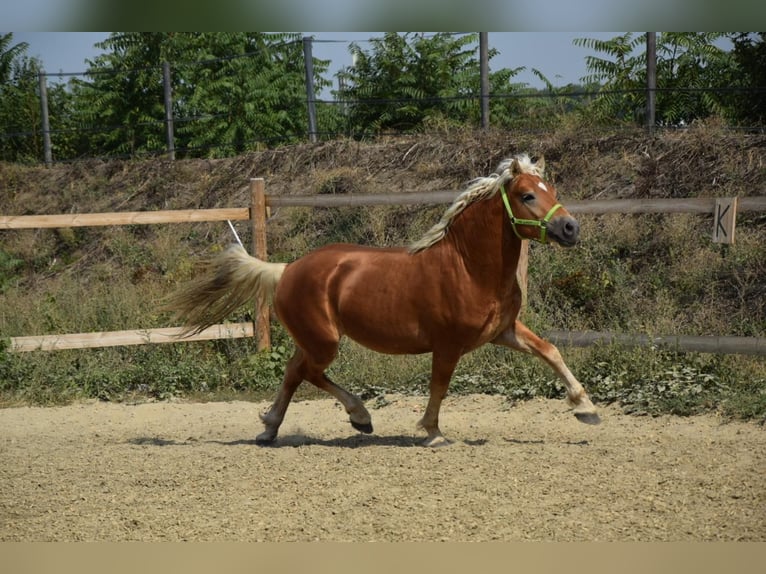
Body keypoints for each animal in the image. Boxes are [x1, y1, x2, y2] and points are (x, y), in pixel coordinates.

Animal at [166, 155, 600, 448]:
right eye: (527, 195)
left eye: (552, 192)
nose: (571, 228)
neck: (468, 267)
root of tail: (286, 268)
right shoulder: (448, 344)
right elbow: (440, 385)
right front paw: (432, 432)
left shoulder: (503, 331)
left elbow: (550, 351)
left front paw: (587, 409)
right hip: (325, 342)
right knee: (308, 373)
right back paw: (359, 417)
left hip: (313, 339)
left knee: (293, 372)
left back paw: (272, 427)